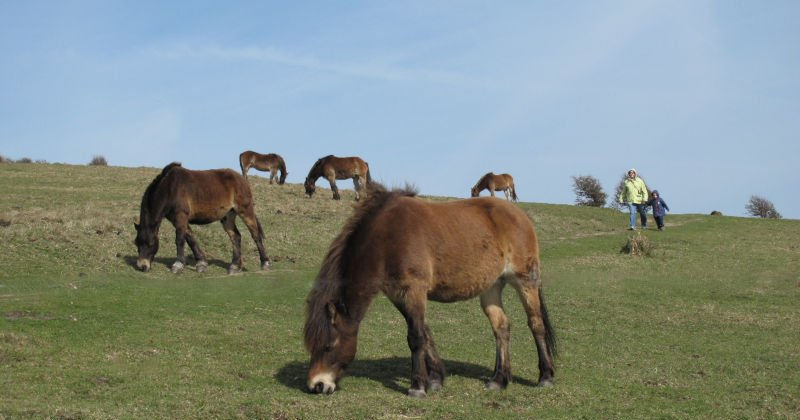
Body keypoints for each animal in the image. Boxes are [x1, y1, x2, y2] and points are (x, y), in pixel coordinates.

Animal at [134, 162, 270, 275]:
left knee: (255, 235)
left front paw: (178, 265)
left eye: (150, 243)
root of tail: (242, 179)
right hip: (228, 216)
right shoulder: (177, 219)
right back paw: (234, 266)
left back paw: (265, 263)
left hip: (245, 211)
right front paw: (201, 263)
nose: (142, 266)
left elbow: (180, 240)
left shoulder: (181, 216)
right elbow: (190, 238)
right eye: (137, 243)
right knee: (236, 237)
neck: (170, 188)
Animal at [304, 183, 555, 398]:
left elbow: (415, 337)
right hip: (492, 287)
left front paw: (417, 386)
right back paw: (499, 379)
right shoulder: (399, 295)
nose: (317, 385)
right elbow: (424, 333)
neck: (387, 238)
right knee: (501, 327)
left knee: (536, 324)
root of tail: (520, 216)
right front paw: (435, 379)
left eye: (328, 346)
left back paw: (546, 376)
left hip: (526, 281)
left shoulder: (414, 290)